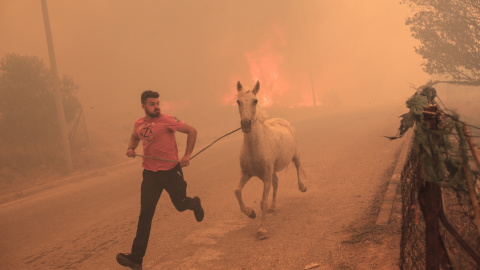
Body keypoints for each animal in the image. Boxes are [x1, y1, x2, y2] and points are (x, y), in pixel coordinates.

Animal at [233, 80, 308, 240]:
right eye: (238, 101)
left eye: (255, 101)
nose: (246, 123)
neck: (255, 147)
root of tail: (285, 121)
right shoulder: (246, 174)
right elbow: (237, 191)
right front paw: (250, 213)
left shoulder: (266, 176)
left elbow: (263, 202)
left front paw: (261, 230)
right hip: (273, 170)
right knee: (276, 182)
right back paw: (273, 207)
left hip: (295, 156)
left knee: (297, 168)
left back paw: (302, 187)